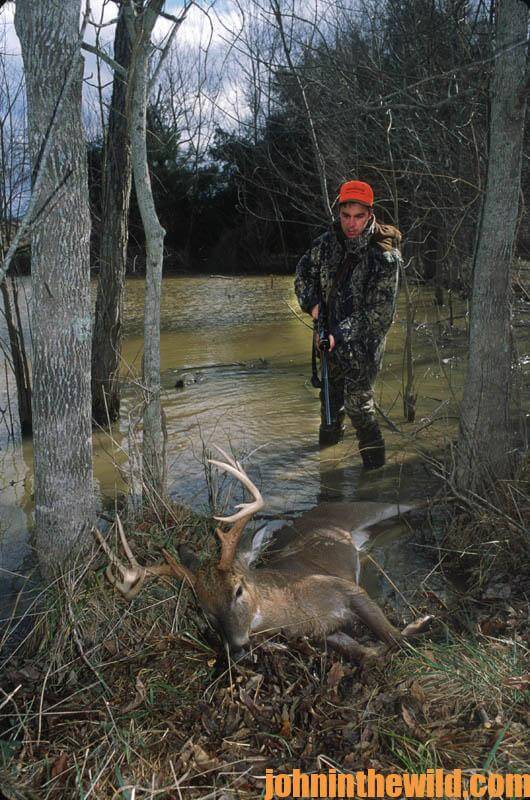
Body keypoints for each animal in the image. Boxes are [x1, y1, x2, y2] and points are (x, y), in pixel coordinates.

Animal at [94, 449, 432, 663]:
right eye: (204, 608)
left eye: (238, 590)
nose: (237, 647)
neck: (292, 608)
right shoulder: (323, 632)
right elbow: (367, 653)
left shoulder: (346, 587)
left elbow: (394, 637)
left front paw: (422, 622)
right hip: (367, 538)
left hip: (367, 509)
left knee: (411, 502)